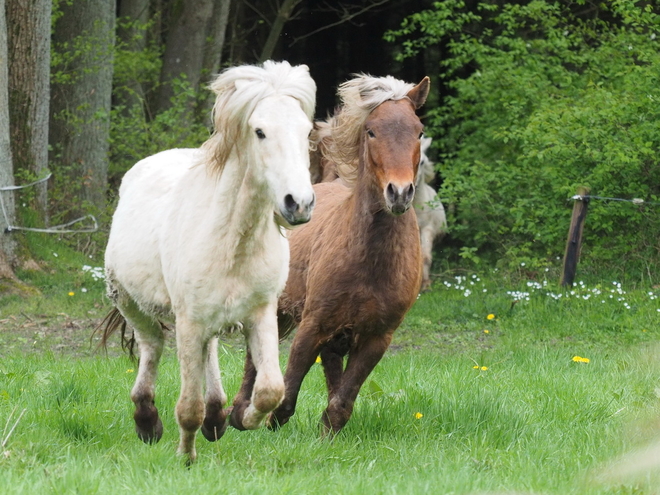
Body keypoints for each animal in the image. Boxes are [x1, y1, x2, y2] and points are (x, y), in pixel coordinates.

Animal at [102, 62, 318, 464]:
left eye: (306, 130)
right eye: (260, 131)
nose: (299, 203)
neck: (231, 239)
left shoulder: (261, 314)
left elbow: (270, 388)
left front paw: (242, 418)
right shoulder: (188, 322)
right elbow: (188, 407)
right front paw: (186, 458)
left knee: (210, 350)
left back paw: (216, 416)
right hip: (131, 303)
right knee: (153, 345)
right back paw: (147, 421)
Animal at [229, 73, 428, 434]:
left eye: (418, 131)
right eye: (371, 130)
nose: (399, 193)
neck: (371, 259)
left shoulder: (377, 338)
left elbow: (340, 404)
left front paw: (327, 438)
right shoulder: (313, 325)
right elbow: (287, 396)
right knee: (255, 360)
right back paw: (237, 415)